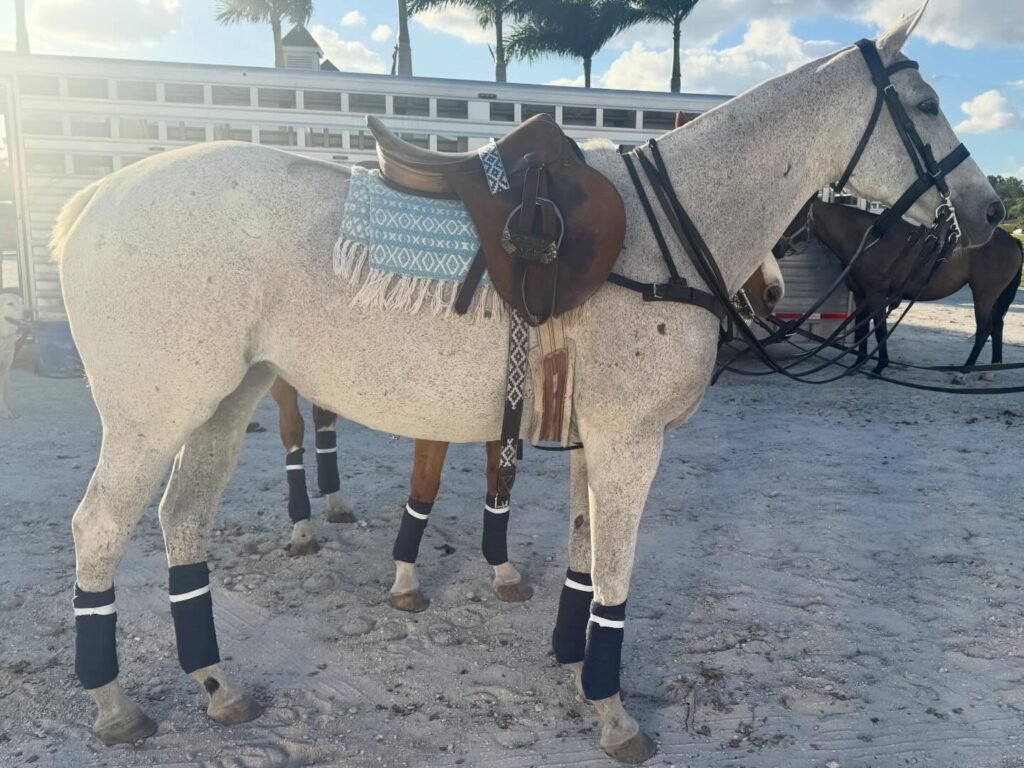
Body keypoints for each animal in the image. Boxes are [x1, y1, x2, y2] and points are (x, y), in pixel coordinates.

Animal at [269, 257, 784, 612]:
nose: (775, 291)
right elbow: (425, 488)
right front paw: (405, 579)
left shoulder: (502, 412)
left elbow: (499, 484)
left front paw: (504, 573)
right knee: (293, 431)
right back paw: (302, 528)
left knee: (324, 418)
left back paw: (335, 505)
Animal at [789, 200, 1022, 380]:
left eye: (794, 217)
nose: (780, 247)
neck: (870, 241)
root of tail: (1012, 240)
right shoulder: (861, 295)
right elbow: (862, 328)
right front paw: (858, 363)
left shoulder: (877, 295)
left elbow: (879, 328)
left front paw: (879, 366)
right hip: (993, 296)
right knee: (997, 325)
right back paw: (991, 370)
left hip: (983, 294)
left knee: (984, 329)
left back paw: (963, 372)